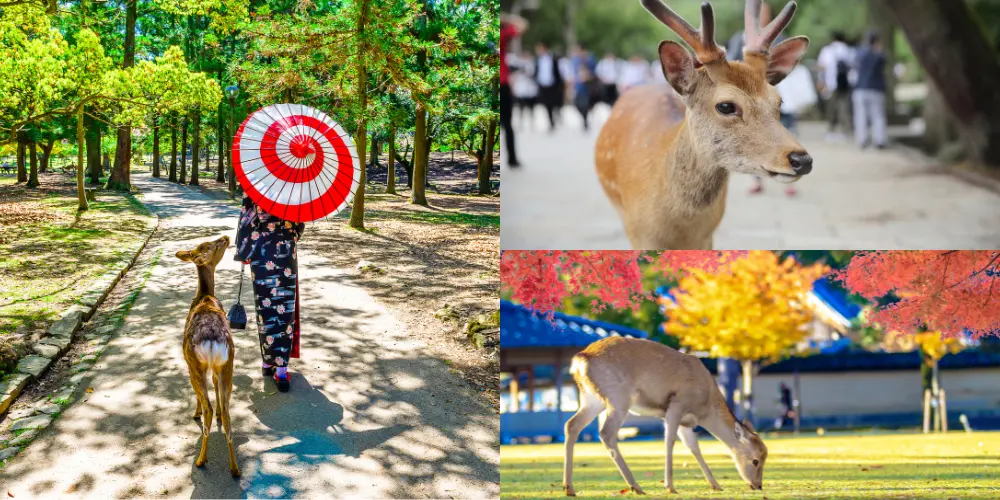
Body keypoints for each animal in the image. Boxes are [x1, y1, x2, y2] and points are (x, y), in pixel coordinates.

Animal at [177, 236, 241, 478]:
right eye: (215, 245)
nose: (225, 237)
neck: (204, 297)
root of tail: (213, 342)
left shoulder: (190, 364)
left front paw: (194, 412)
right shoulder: (217, 368)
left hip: (196, 364)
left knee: (208, 409)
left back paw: (200, 460)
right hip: (228, 363)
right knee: (228, 415)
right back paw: (235, 469)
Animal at [564, 336, 764, 496]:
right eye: (755, 460)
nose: (758, 485)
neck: (705, 408)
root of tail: (580, 359)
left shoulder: (686, 423)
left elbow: (694, 447)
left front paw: (715, 485)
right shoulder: (676, 405)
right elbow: (669, 441)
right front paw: (670, 486)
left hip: (591, 399)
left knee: (572, 425)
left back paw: (569, 488)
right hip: (618, 398)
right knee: (606, 433)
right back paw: (636, 486)